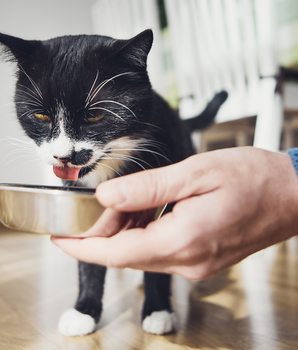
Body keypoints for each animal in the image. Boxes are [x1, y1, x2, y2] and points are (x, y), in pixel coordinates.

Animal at [0, 30, 228, 336]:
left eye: (95, 115)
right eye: (40, 115)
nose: (63, 156)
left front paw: (158, 310)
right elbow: (88, 255)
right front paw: (84, 311)